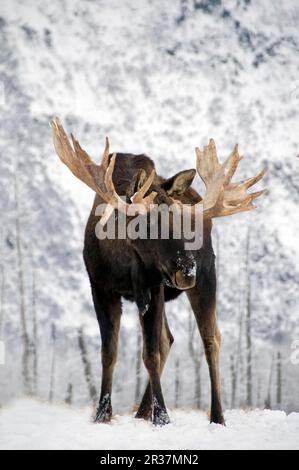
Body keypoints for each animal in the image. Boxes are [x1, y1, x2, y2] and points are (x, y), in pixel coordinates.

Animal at [51, 117, 268, 426]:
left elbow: (150, 354)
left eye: (180, 220)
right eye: (148, 223)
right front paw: (103, 414)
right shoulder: (100, 288)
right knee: (169, 339)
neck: (123, 263)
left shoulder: (153, 287)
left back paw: (217, 416)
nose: (187, 271)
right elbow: (109, 352)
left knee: (210, 338)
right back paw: (142, 411)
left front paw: (163, 417)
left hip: (207, 277)